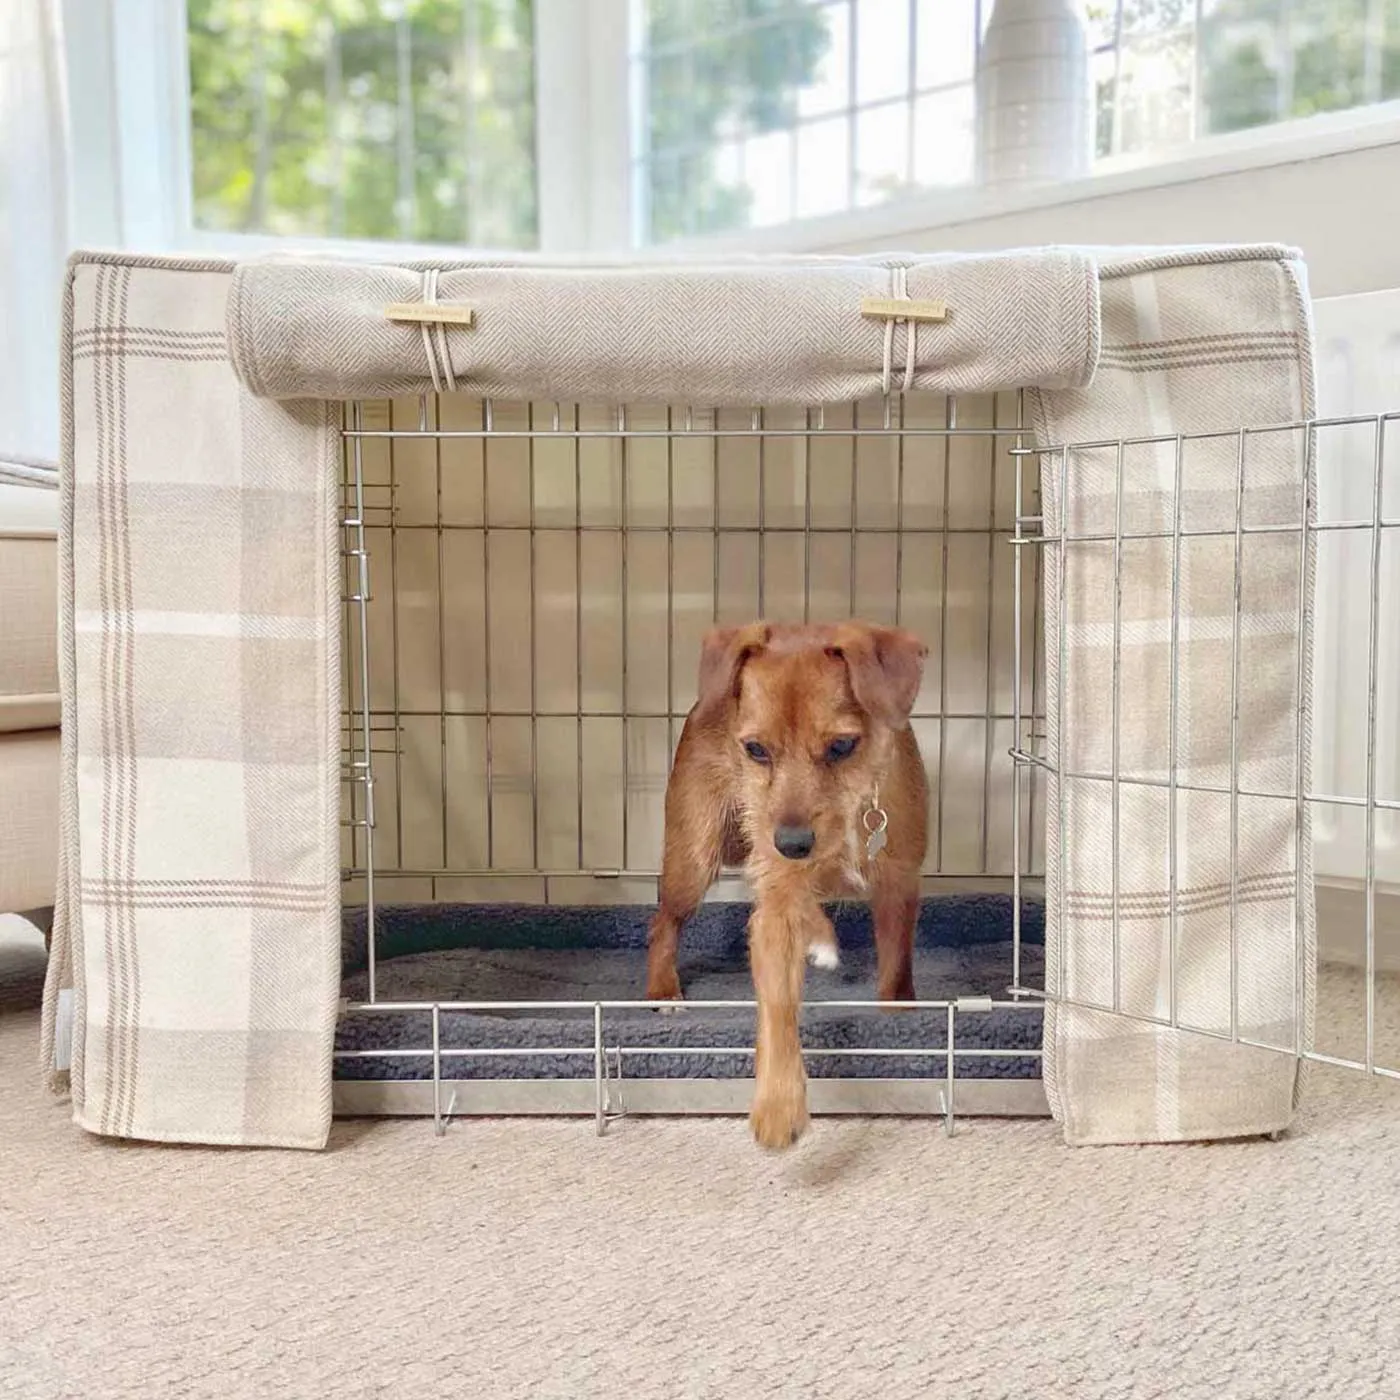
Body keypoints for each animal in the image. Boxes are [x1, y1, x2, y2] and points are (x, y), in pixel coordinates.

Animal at [644, 621, 929, 1148]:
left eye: (841, 747)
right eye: (755, 749)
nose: (792, 844)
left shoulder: (898, 889)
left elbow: (896, 970)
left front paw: (900, 1020)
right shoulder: (776, 903)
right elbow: (778, 1006)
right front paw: (778, 1105)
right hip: (694, 858)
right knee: (663, 924)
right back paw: (663, 991)